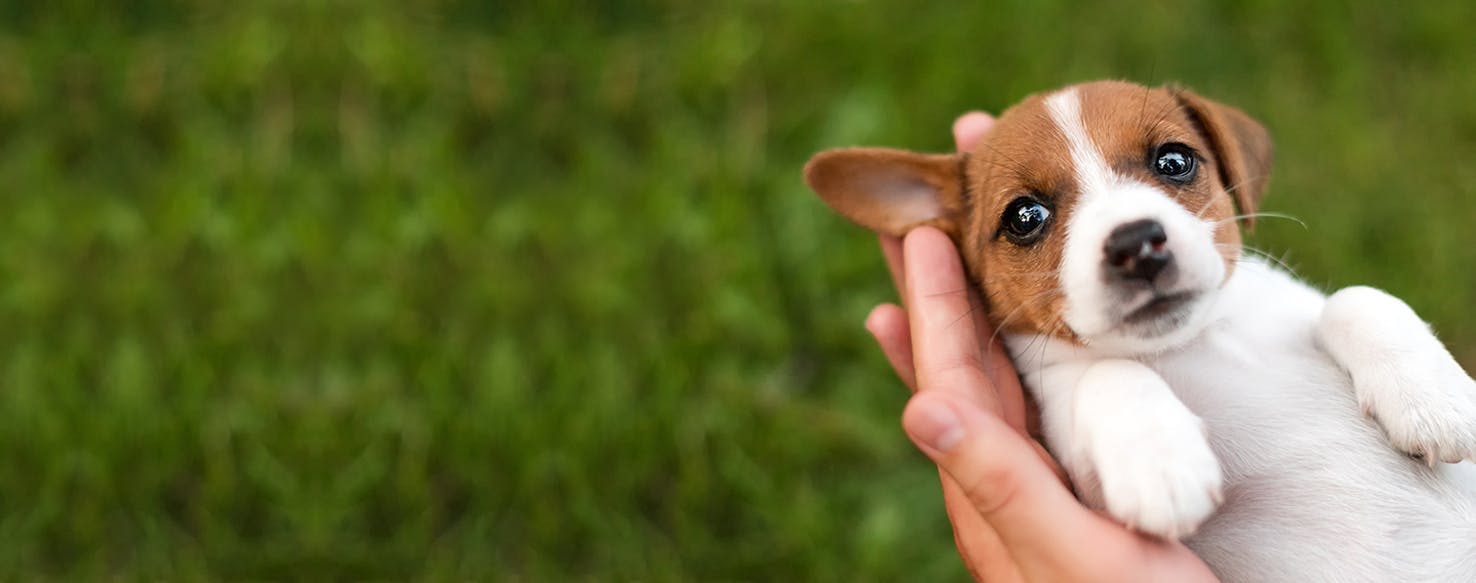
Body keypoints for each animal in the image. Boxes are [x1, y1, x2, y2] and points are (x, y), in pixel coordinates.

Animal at [808, 80, 1476, 581]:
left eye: (1174, 161)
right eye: (1025, 216)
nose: (1135, 243)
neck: (1190, 343)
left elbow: (1355, 299)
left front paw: (1435, 399)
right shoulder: (1079, 469)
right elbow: (1109, 371)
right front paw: (1161, 462)